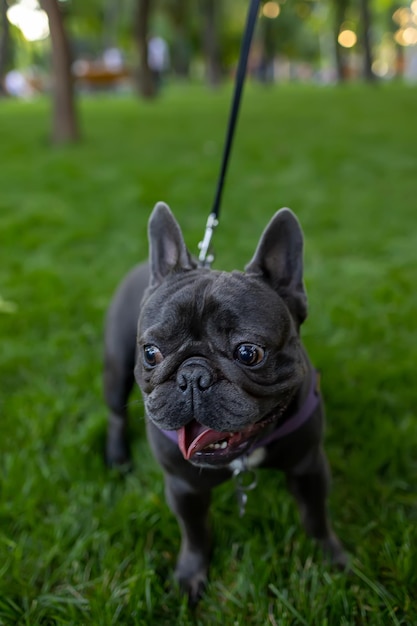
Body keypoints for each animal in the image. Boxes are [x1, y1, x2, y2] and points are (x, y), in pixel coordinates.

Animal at [103, 200, 344, 600]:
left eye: (248, 353)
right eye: (151, 352)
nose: (193, 376)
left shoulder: (308, 466)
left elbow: (315, 516)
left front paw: (331, 558)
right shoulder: (184, 487)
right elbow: (195, 534)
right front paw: (190, 577)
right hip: (116, 368)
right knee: (115, 414)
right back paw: (117, 456)